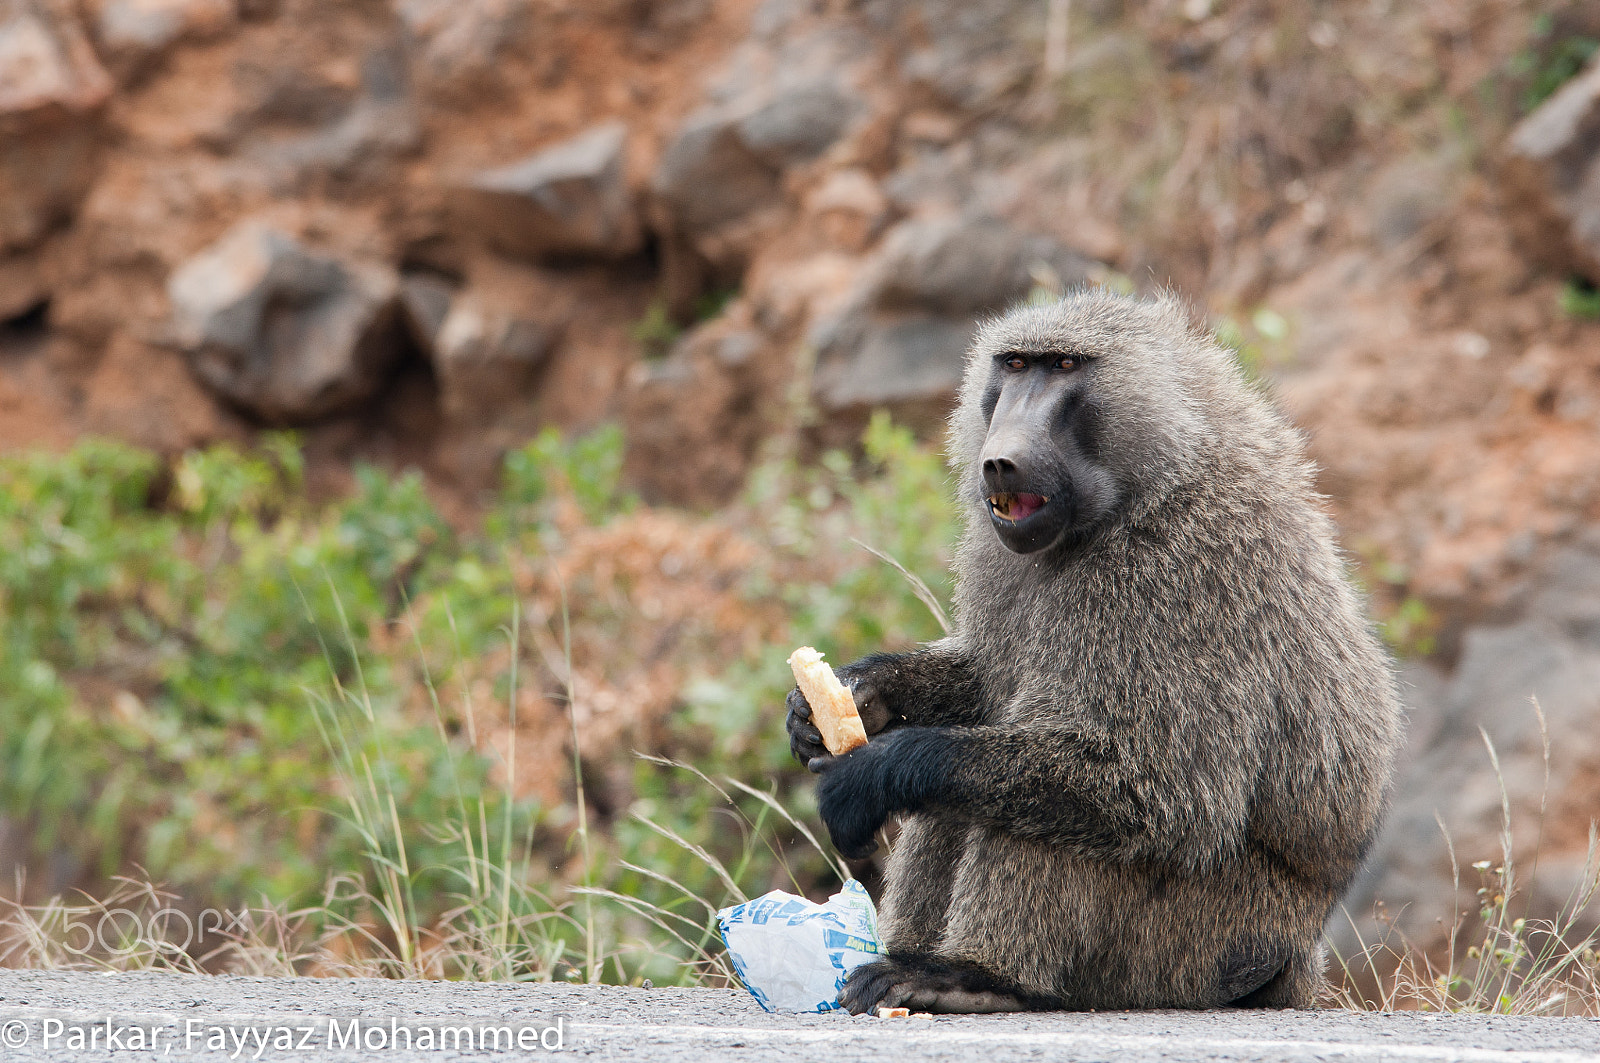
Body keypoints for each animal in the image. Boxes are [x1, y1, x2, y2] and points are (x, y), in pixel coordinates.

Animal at [785, 288, 1403, 1014]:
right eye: (1015, 365)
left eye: (1063, 366)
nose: (1000, 459)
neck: (1142, 489)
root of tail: (1296, 957)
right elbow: (987, 682)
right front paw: (852, 697)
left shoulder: (1172, 578)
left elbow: (1160, 787)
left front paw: (879, 769)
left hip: (1197, 947)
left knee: (1053, 806)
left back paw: (975, 979)